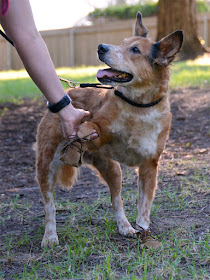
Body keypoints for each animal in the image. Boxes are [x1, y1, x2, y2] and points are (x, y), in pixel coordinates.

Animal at [35, 12, 182, 246]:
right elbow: (91, 125)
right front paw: (82, 128)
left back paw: (125, 227)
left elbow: (144, 206)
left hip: (113, 170)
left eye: (135, 50)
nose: (101, 47)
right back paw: (50, 236)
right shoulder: (99, 127)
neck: (137, 107)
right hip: (46, 165)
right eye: (122, 43)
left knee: (116, 200)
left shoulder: (149, 165)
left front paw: (142, 228)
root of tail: (68, 91)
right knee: (49, 206)